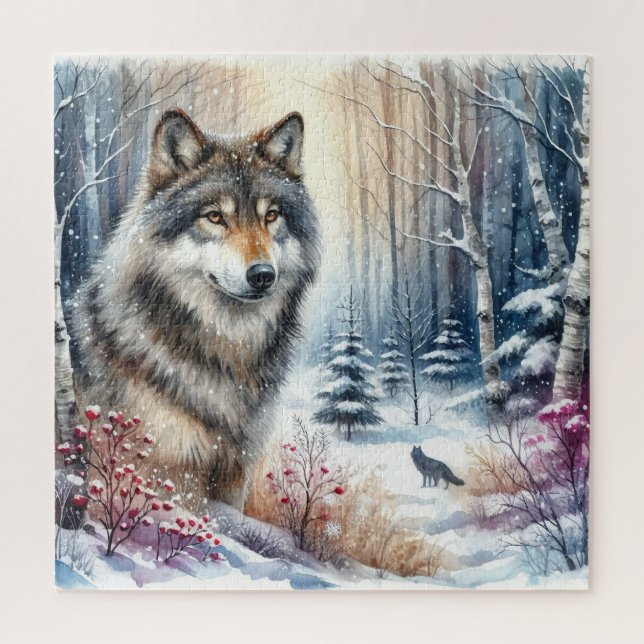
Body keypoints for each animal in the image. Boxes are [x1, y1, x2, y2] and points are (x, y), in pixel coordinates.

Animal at [73, 108, 320, 509]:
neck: (228, 356)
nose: (263, 275)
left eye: (271, 216)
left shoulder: (235, 475)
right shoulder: (164, 476)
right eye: (215, 216)